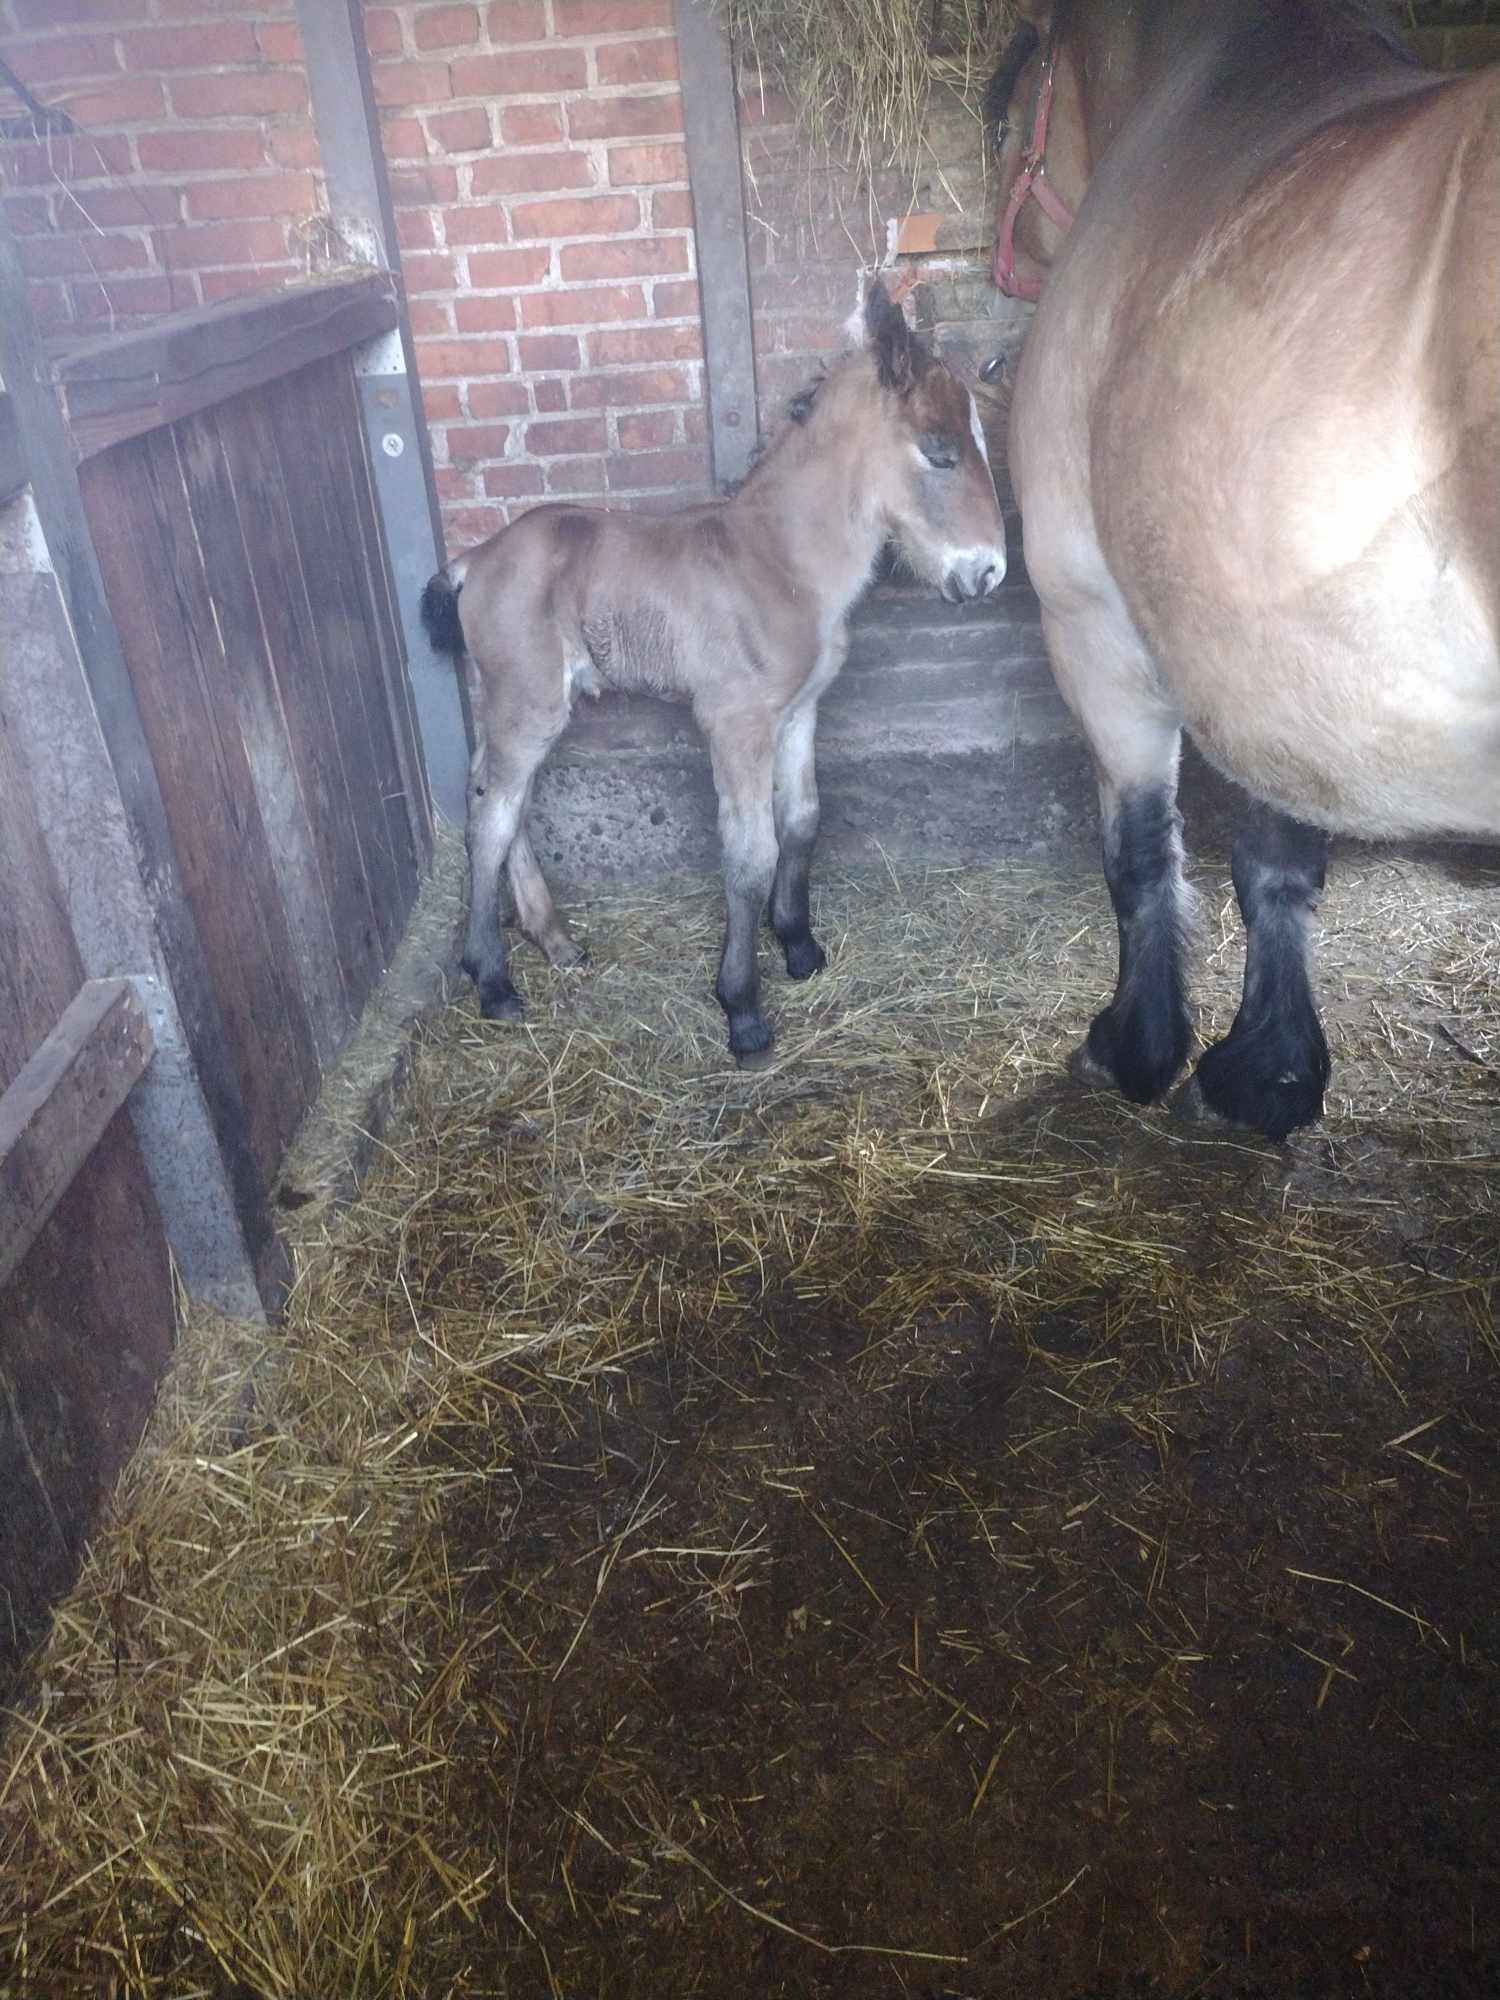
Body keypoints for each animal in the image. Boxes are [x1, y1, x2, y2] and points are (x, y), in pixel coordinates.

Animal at [424, 286, 1012, 1064]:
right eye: (940, 452)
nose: (991, 572)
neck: (780, 562)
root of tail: (475, 559)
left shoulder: (798, 712)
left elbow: (802, 819)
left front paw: (799, 947)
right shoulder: (735, 722)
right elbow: (750, 852)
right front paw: (743, 1011)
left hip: (527, 706)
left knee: (493, 797)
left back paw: (555, 942)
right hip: (528, 704)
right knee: (492, 817)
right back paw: (493, 981)